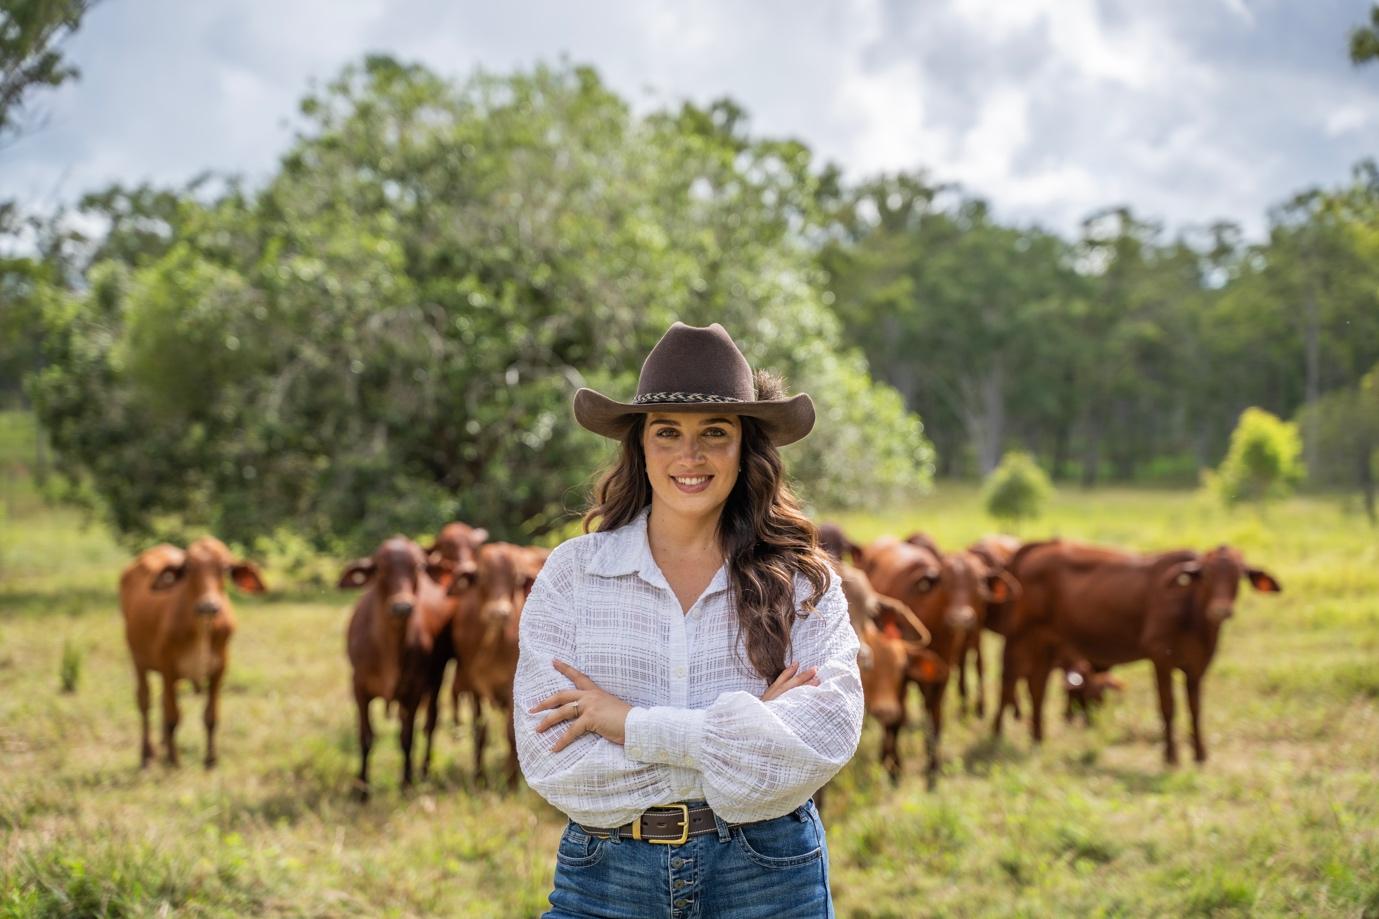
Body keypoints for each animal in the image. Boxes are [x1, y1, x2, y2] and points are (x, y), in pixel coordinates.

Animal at [121, 538, 268, 767]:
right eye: (188, 568)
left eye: (224, 568)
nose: (209, 606)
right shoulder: (168, 667)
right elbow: (173, 716)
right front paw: (174, 760)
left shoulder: (219, 669)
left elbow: (211, 717)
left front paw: (210, 759)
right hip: (137, 659)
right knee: (145, 702)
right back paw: (147, 754)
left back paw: (163, 745)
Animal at [340, 538, 452, 794]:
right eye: (380, 568)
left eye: (418, 566)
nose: (402, 607)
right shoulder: (358, 686)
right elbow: (366, 738)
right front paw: (362, 787)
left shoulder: (413, 691)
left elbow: (407, 738)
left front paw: (407, 782)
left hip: (436, 679)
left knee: (430, 723)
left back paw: (424, 771)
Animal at [446, 540, 543, 783]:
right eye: (481, 576)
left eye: (515, 578)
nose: (499, 613)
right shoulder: (473, 686)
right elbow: (479, 731)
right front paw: (478, 776)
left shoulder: (511, 686)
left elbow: (511, 734)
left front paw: (511, 782)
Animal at [992, 538, 1279, 756]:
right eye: (1206, 574)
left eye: (1240, 575)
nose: (1221, 610)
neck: (1191, 613)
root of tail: (1041, 546)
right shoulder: (1160, 658)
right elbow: (1168, 706)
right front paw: (1171, 756)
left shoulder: (1197, 665)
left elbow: (1195, 708)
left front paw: (1200, 755)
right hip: (1018, 637)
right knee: (1008, 680)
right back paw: (996, 733)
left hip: (1048, 642)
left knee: (1037, 686)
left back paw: (1038, 739)